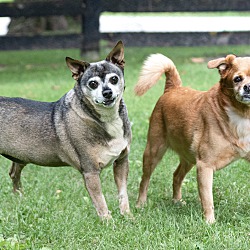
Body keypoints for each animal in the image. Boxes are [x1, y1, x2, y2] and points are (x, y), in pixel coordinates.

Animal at [0, 41, 132, 219]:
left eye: (114, 79)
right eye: (93, 84)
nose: (107, 92)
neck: (107, 119)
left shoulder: (121, 162)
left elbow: (123, 194)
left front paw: (128, 216)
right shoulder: (90, 172)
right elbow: (101, 202)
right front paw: (109, 222)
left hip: (21, 157)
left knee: (14, 173)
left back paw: (19, 198)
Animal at [136, 54, 250, 223]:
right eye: (237, 79)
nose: (247, 87)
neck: (242, 116)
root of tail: (173, 87)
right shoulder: (205, 166)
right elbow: (208, 199)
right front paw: (209, 222)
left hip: (188, 158)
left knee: (176, 176)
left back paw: (177, 201)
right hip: (153, 151)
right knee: (144, 180)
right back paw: (140, 204)